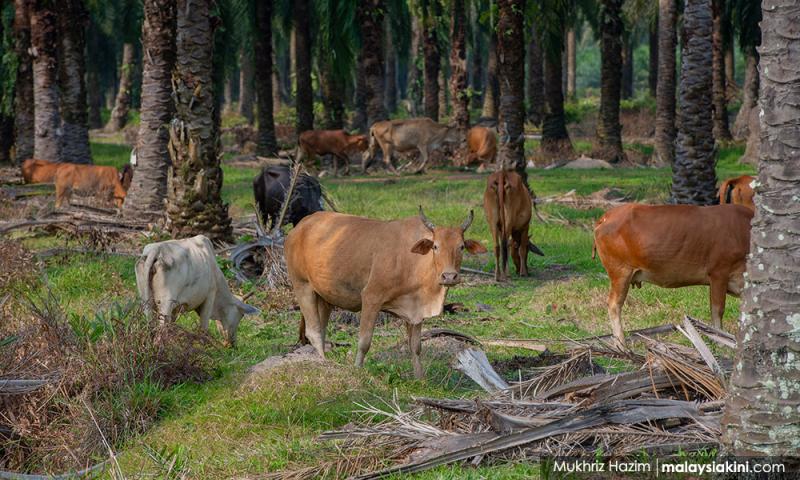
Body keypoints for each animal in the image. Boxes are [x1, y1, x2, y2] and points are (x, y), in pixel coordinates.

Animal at [284, 207, 487, 378]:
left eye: (461, 246)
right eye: (435, 246)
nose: (449, 276)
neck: (414, 263)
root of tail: (302, 225)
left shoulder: (415, 311)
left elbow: (416, 346)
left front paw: (420, 378)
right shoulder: (371, 297)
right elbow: (364, 342)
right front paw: (357, 370)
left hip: (324, 297)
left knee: (322, 330)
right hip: (302, 286)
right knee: (314, 332)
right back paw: (325, 364)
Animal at [592, 204, 752, 347]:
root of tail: (607, 216)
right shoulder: (719, 273)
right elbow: (718, 310)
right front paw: (721, 341)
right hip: (621, 272)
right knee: (614, 304)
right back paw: (621, 344)